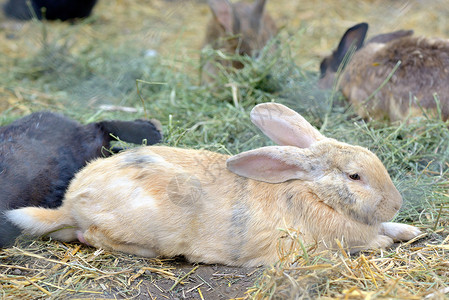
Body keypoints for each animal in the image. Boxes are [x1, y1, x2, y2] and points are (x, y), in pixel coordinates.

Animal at [6, 103, 420, 268]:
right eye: (354, 176)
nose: (396, 203)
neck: (314, 194)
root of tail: (70, 204)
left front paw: (409, 230)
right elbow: (369, 241)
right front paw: (386, 239)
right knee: (90, 236)